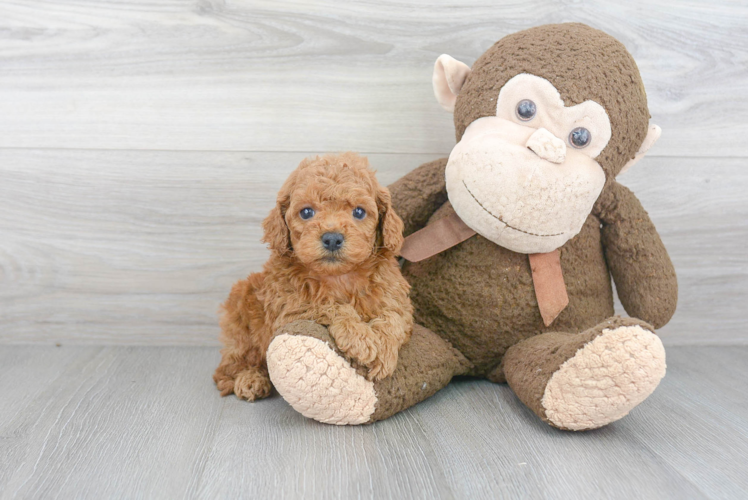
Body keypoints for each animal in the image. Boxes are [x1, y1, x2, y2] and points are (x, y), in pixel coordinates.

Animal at [213, 150, 414, 400]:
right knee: (228, 370)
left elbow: (393, 318)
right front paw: (360, 338)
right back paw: (250, 379)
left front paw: (383, 351)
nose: (332, 238)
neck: (339, 277)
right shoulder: (290, 308)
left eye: (359, 212)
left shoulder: (397, 301)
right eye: (307, 212)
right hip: (241, 317)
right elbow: (328, 305)